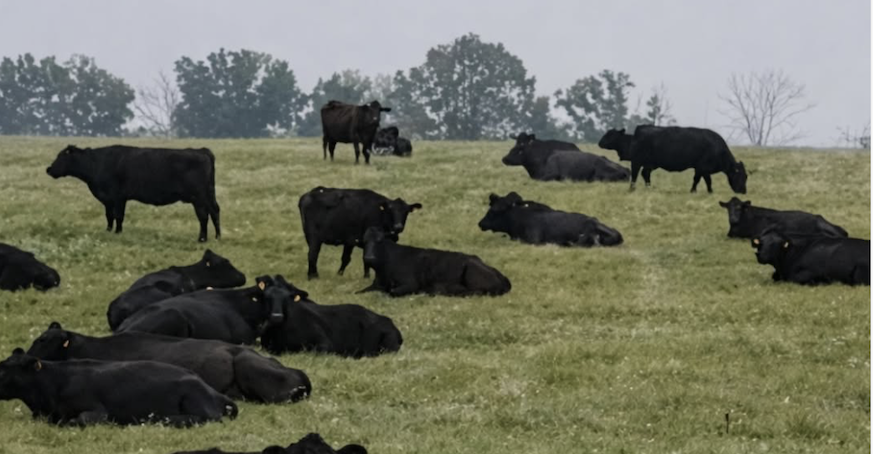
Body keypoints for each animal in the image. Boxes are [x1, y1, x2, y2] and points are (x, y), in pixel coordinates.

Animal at [46, 145, 221, 242]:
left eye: (61, 156)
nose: (49, 169)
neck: (97, 163)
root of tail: (201, 151)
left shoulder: (118, 197)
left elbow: (118, 216)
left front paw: (117, 233)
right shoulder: (109, 199)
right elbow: (109, 216)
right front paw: (108, 231)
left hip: (199, 197)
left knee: (203, 216)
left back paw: (202, 239)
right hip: (209, 194)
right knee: (214, 212)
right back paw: (217, 236)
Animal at [598, 126, 747, 193]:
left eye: (745, 176)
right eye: (740, 175)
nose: (743, 191)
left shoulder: (701, 169)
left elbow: (700, 180)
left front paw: (699, 191)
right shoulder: (703, 168)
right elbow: (704, 180)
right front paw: (704, 192)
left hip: (649, 164)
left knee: (645, 174)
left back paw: (648, 187)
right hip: (637, 162)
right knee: (635, 175)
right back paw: (632, 188)